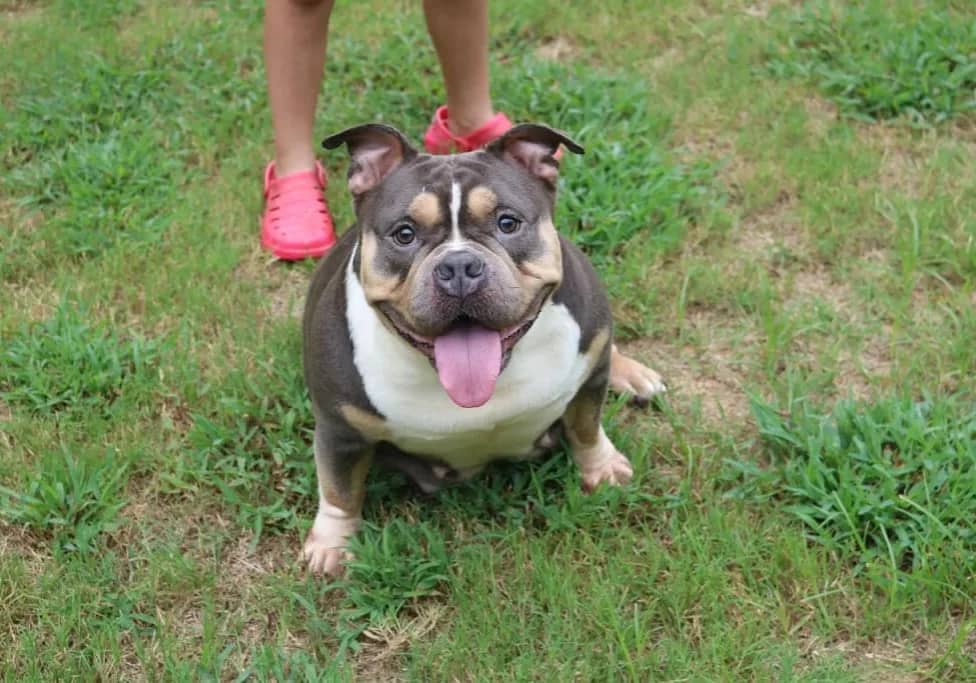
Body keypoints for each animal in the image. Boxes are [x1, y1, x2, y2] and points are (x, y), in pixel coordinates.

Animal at [300, 123, 664, 576]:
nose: (458, 266)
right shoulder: (340, 429)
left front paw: (603, 468)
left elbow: (586, 428)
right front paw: (332, 544)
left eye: (507, 223)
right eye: (405, 234)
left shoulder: (589, 380)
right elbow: (339, 488)